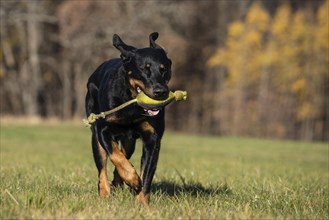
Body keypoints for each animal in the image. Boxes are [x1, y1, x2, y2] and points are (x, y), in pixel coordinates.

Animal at [84, 32, 172, 205]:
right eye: (144, 69)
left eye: (164, 69)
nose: (161, 91)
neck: (132, 104)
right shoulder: (103, 129)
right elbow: (115, 155)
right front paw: (132, 179)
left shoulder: (152, 138)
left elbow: (147, 172)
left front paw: (142, 202)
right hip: (95, 136)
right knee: (102, 167)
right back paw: (105, 192)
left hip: (129, 141)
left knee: (124, 155)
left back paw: (119, 183)